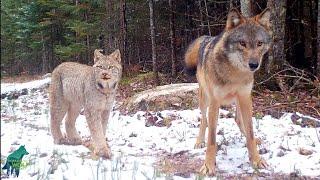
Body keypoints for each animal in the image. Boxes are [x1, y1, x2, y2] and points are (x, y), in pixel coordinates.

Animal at [184, 7, 272, 175]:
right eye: (242, 43)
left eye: (259, 43)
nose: (254, 65)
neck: (235, 73)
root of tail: (207, 37)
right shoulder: (215, 102)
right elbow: (212, 139)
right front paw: (208, 166)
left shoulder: (245, 97)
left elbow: (250, 132)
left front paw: (256, 160)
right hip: (204, 100)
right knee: (204, 120)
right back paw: (199, 142)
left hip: (240, 101)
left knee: (238, 120)